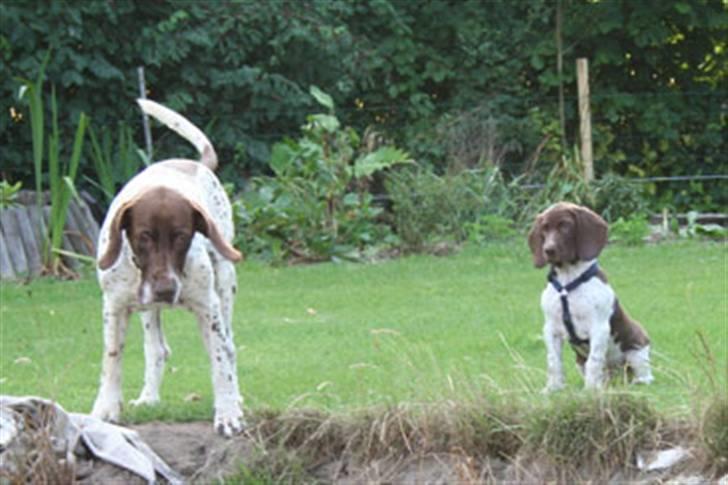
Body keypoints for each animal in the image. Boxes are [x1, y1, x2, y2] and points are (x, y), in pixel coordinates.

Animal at [90, 98, 245, 434]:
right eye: (144, 236)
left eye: (182, 236)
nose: (165, 289)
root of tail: (198, 163)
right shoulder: (114, 307)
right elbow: (112, 359)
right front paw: (106, 408)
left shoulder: (208, 306)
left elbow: (220, 362)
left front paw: (228, 411)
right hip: (147, 308)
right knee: (157, 349)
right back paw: (149, 397)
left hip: (225, 283)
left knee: (228, 346)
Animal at [528, 200, 656, 390]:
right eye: (544, 228)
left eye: (565, 226)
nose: (548, 250)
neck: (568, 280)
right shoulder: (551, 329)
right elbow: (553, 361)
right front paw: (553, 388)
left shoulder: (598, 327)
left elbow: (594, 361)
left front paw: (589, 390)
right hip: (580, 362)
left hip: (637, 348)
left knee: (643, 374)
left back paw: (638, 382)